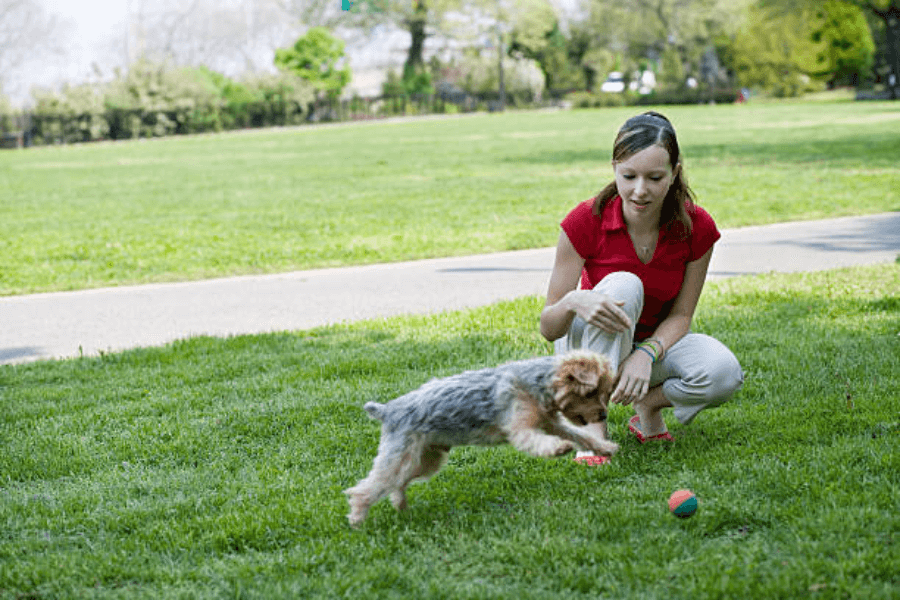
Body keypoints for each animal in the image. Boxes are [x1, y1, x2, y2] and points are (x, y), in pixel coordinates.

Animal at [344, 352, 620, 524]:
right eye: (591, 392)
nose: (603, 414)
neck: (538, 383)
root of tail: (387, 410)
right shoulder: (521, 428)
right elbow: (539, 440)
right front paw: (559, 448)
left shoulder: (552, 422)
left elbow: (581, 435)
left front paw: (605, 447)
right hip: (401, 455)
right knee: (367, 487)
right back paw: (357, 520)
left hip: (425, 459)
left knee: (397, 483)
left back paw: (400, 506)